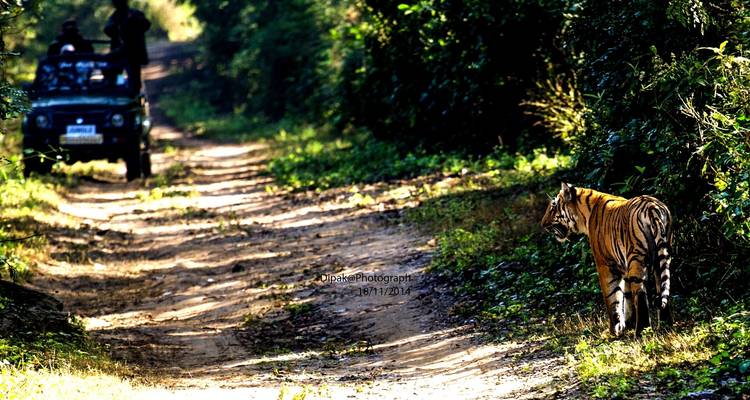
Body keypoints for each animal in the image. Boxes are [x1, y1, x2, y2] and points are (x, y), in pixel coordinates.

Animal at [541, 182, 672, 336]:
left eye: (553, 206)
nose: (543, 224)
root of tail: (652, 208)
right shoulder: (623, 266)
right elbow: (626, 295)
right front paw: (628, 323)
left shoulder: (605, 264)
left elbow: (613, 297)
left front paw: (614, 329)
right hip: (661, 256)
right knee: (661, 287)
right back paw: (666, 325)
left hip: (636, 259)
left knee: (640, 293)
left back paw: (641, 331)